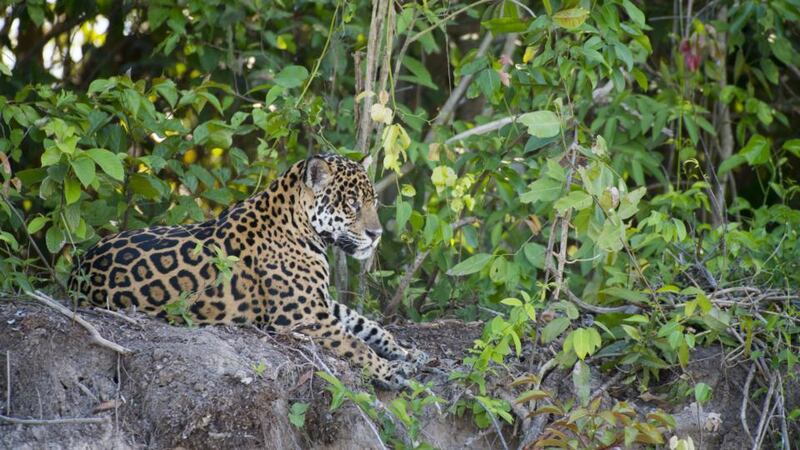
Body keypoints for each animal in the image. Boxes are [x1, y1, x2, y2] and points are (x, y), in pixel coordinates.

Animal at [68, 152, 427, 389]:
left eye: (373, 201)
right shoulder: (303, 316)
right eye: (351, 204)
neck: (300, 226)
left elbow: (370, 326)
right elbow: (355, 344)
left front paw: (408, 354)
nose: (376, 235)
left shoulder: (321, 304)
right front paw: (390, 372)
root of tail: (77, 271)